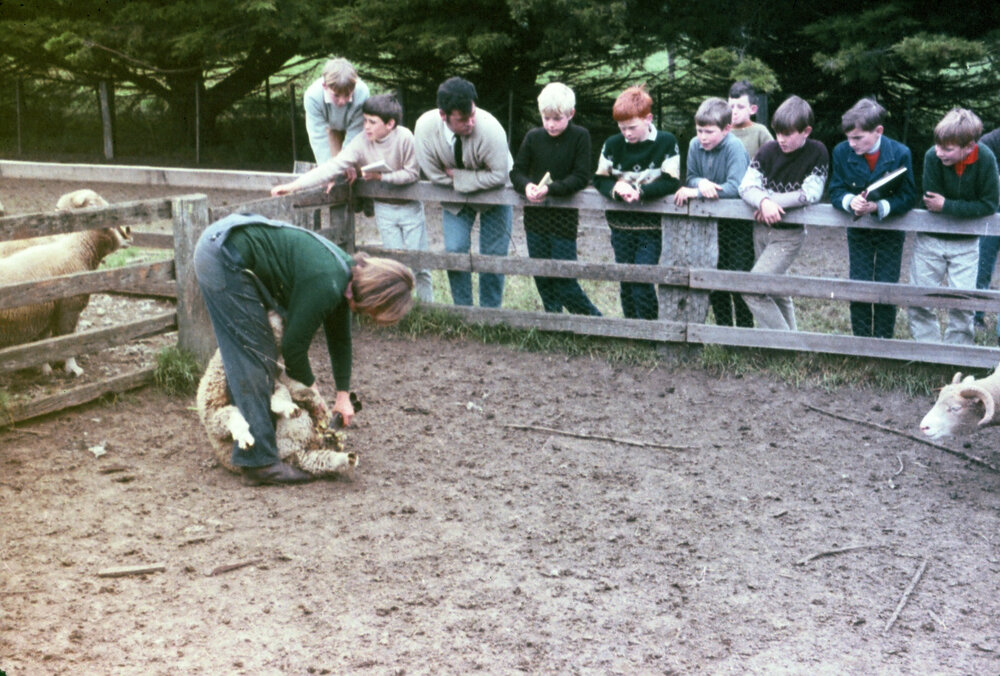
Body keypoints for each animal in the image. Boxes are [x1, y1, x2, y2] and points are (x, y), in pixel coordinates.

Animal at [0, 193, 130, 377]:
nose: (128, 231)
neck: (77, 249)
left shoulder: (48, 310)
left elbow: (45, 341)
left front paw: (45, 367)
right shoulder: (69, 307)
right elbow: (67, 339)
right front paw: (72, 367)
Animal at [195, 311, 358, 479]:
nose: (281, 316)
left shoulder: (278, 381)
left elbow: (286, 393)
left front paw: (303, 407)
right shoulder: (213, 414)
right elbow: (232, 417)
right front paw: (245, 438)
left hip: (304, 451)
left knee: (322, 460)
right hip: (294, 450)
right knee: (316, 459)